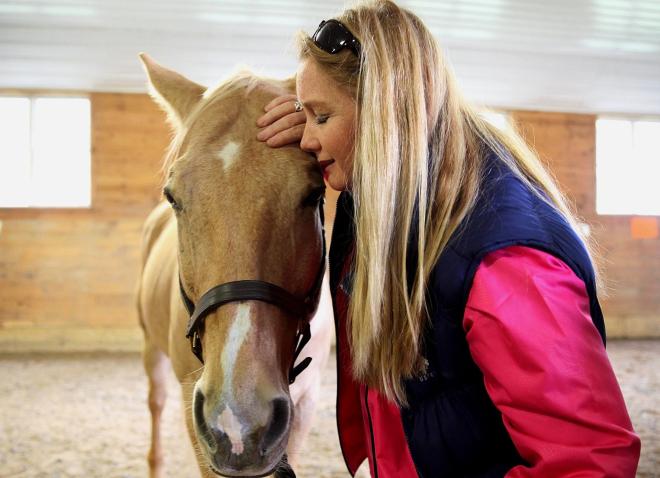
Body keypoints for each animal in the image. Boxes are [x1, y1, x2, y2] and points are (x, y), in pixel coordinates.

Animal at [136, 54, 334, 478]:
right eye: (173, 196)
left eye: (313, 194)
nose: (240, 422)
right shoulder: (196, 413)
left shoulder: (305, 406)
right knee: (155, 403)